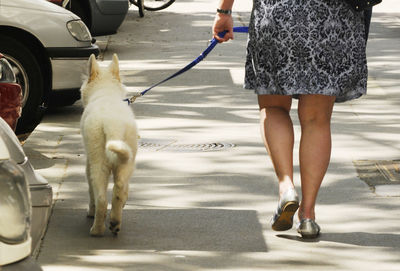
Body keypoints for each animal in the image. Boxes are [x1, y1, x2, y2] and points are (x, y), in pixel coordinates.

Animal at [79, 54, 139, 237]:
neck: (106, 92)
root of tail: (113, 124)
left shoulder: (88, 163)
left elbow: (91, 191)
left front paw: (90, 212)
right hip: (128, 159)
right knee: (120, 189)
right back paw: (115, 222)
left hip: (98, 161)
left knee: (101, 199)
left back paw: (97, 229)